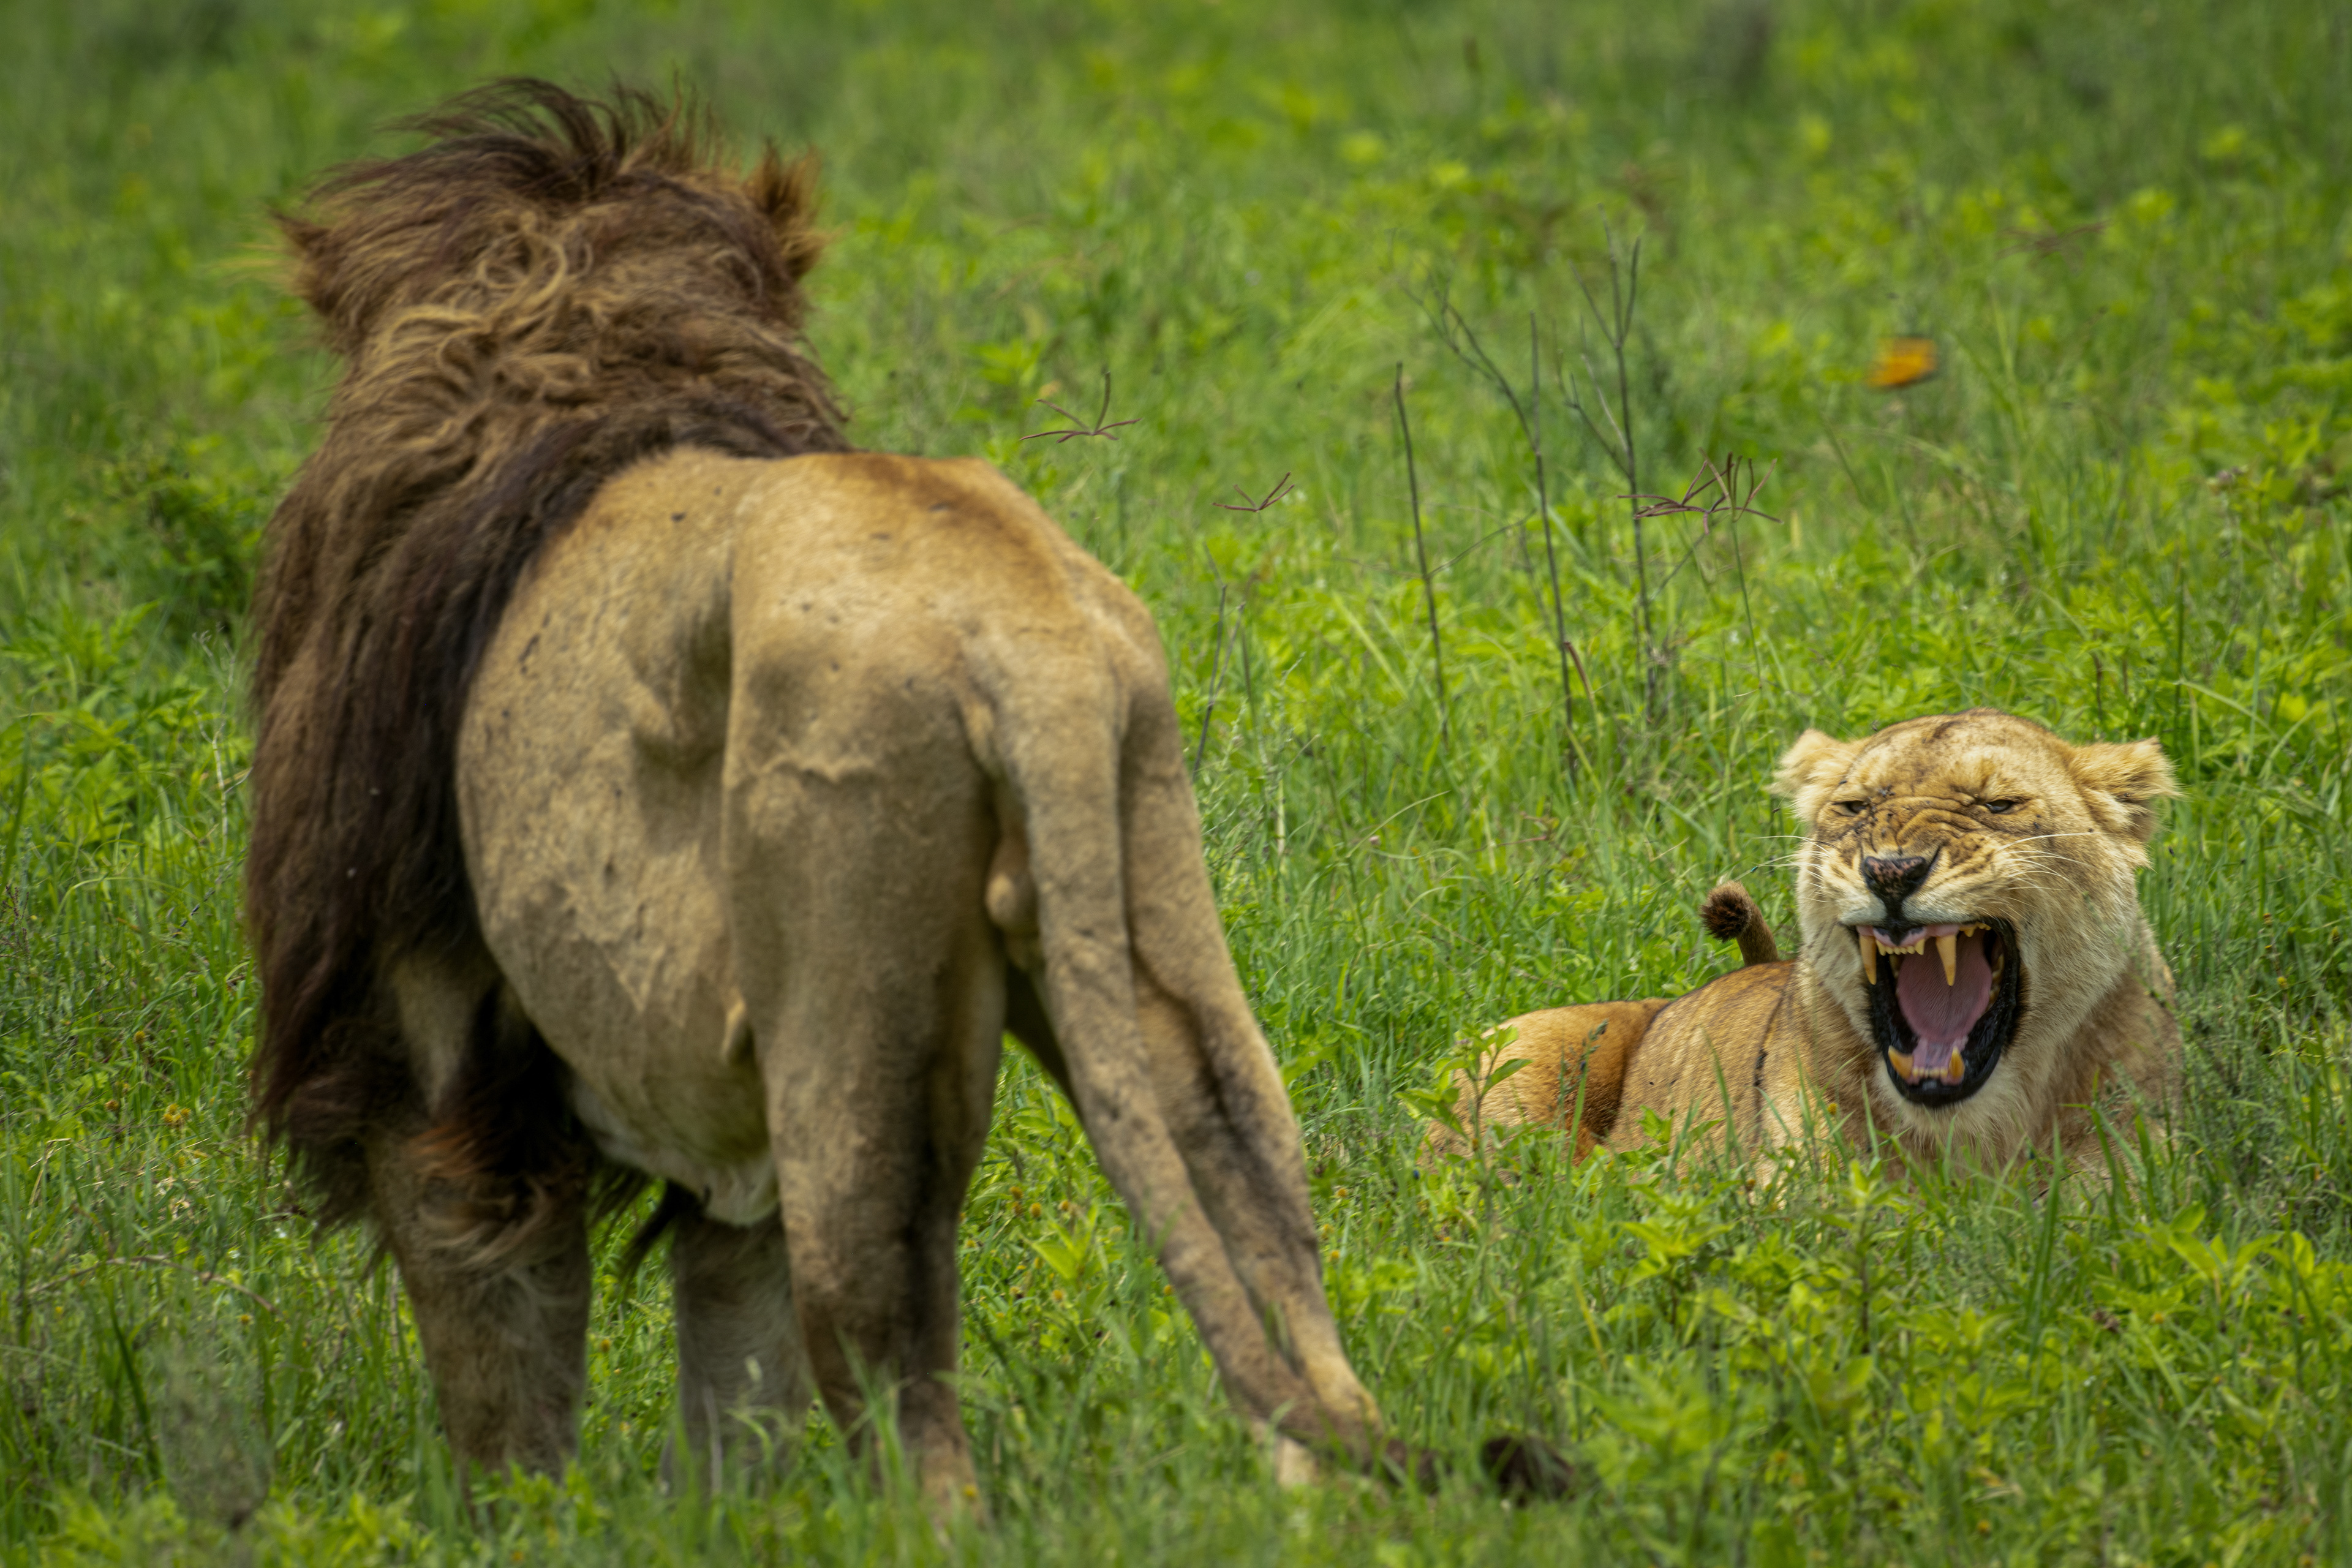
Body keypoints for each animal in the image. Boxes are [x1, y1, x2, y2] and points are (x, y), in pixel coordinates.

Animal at [242, 82, 1393, 1512]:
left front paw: (517, 1525)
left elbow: (508, 1380)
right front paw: (724, 1524)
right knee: (1276, 1247)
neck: (595, 349)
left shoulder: (424, 1054)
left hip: (850, 1004)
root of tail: (1016, 630)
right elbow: (733, 1377)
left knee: (912, 1405)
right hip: (1149, 913)